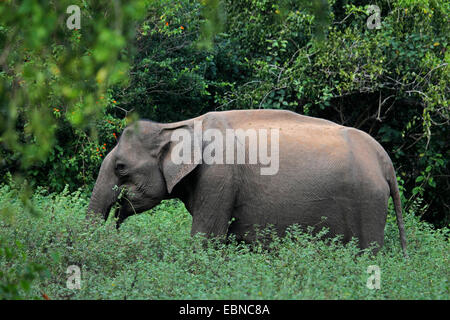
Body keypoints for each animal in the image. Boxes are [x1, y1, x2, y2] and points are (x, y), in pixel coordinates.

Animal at [88, 109, 408, 256]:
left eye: (120, 167)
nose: (115, 226)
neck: (179, 125)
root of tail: (384, 159)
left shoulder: (218, 177)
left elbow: (207, 238)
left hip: (368, 202)